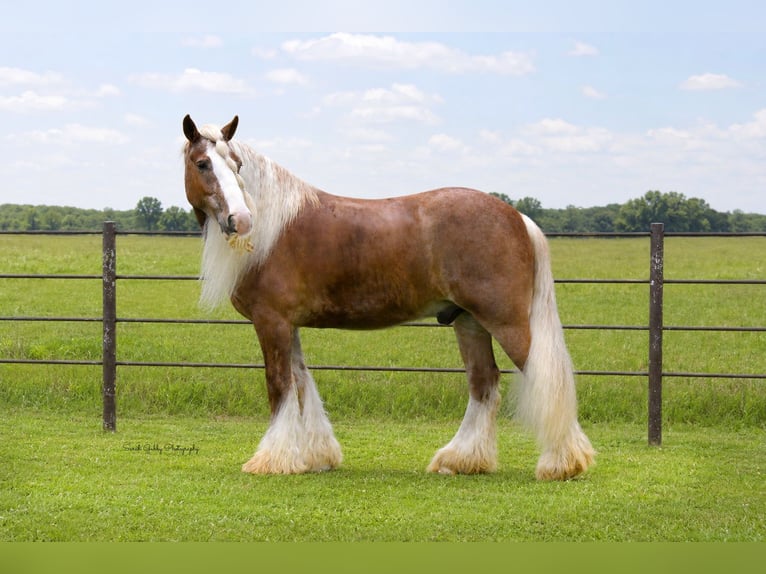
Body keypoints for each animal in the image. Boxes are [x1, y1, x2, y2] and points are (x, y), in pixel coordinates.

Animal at [182, 114, 595, 480]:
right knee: (484, 384)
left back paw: (563, 463)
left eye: (236, 165)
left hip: (506, 322)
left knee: (544, 379)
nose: (241, 220)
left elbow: (280, 385)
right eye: (202, 163)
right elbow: (301, 382)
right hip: (469, 321)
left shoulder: (273, 322)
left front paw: (273, 459)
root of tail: (517, 217)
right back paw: (460, 460)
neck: (274, 228)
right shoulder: (289, 325)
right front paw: (316, 455)